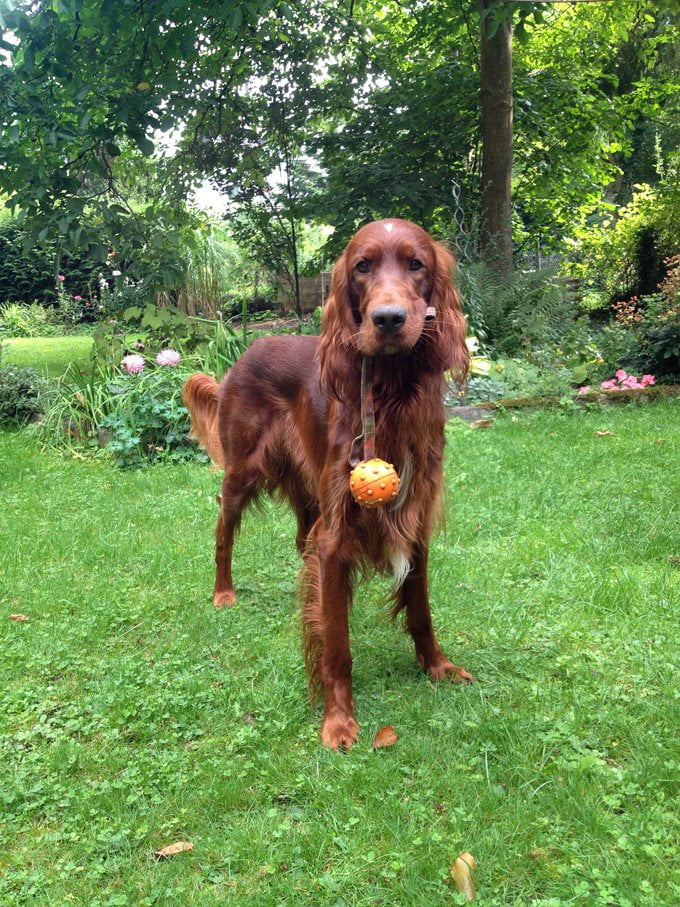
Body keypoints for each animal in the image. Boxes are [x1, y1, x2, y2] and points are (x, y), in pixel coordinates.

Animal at [183, 216, 476, 748]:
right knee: (223, 533)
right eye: (362, 266)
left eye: (416, 264)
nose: (388, 319)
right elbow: (336, 642)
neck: (389, 392)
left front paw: (438, 666)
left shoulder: (414, 518)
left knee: (301, 541)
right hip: (242, 473)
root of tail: (248, 348)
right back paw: (223, 592)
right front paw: (338, 719)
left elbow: (420, 608)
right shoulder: (337, 534)